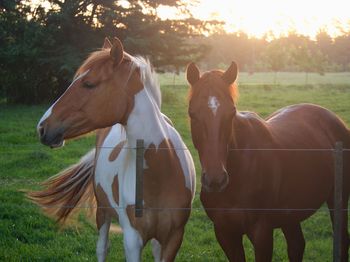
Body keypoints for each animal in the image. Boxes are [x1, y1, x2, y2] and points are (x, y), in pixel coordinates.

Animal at [28, 37, 196, 262]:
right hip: (102, 212)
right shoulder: (132, 240)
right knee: (102, 248)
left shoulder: (174, 238)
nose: (42, 127)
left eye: (89, 84)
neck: (161, 173)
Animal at [186, 62, 350, 260]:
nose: (216, 180)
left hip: (338, 200)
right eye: (192, 114)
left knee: (342, 241)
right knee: (296, 245)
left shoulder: (262, 233)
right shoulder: (225, 233)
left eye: (231, 112)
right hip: (290, 215)